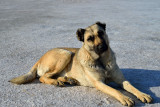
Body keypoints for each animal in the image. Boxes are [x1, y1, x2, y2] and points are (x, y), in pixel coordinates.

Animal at [9, 21, 152, 106]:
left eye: (101, 33)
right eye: (89, 39)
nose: (102, 47)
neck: (101, 61)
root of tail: (39, 59)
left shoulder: (122, 80)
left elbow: (132, 87)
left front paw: (143, 94)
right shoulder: (99, 83)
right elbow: (114, 90)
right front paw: (124, 97)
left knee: (52, 76)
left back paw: (68, 80)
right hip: (66, 53)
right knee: (43, 77)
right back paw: (57, 82)